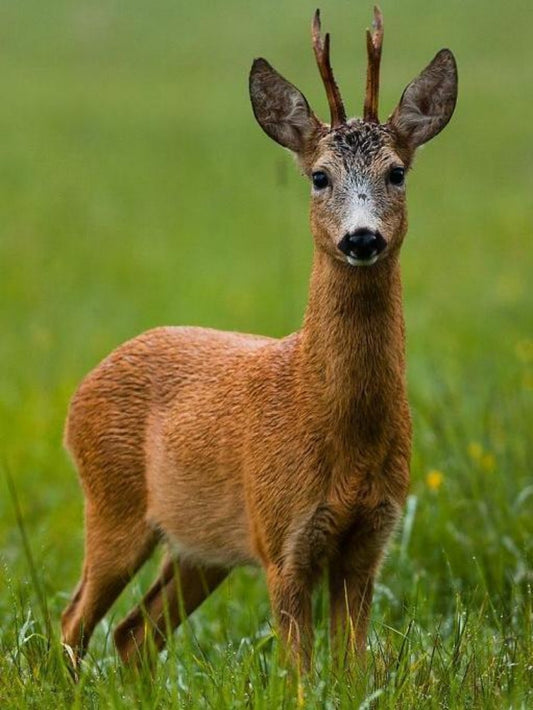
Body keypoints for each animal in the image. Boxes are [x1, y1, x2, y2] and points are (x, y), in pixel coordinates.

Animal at [60, 7, 457, 671]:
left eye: (397, 172)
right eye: (319, 176)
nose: (362, 238)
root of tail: (78, 395)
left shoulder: (371, 539)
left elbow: (352, 671)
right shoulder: (282, 538)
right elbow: (299, 673)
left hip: (200, 547)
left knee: (134, 633)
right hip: (113, 502)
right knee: (73, 623)